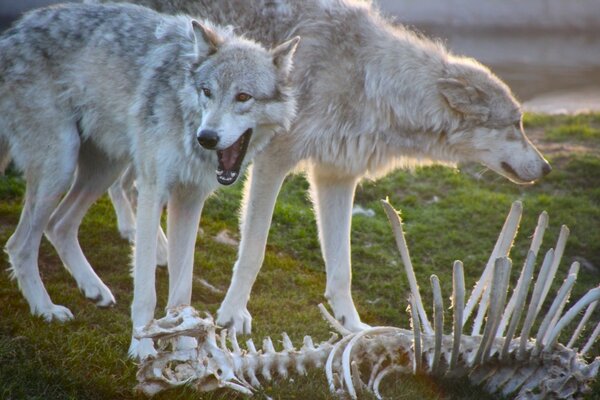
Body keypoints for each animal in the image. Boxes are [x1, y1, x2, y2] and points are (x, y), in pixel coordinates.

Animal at [0, 2, 300, 360]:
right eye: (207, 92)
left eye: (243, 97)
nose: (207, 138)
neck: (184, 112)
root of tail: (12, 33)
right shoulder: (152, 191)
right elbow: (146, 291)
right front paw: (142, 348)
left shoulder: (189, 201)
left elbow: (182, 288)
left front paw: (185, 347)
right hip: (61, 167)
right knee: (19, 244)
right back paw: (46, 309)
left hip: (103, 170)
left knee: (58, 225)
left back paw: (94, 289)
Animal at [94, 0, 548, 334]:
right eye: (516, 125)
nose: (544, 168)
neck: (369, 82)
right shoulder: (272, 163)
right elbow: (254, 252)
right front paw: (232, 315)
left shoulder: (336, 176)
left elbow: (341, 269)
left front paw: (353, 328)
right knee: (129, 186)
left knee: (125, 185)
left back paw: (146, 243)